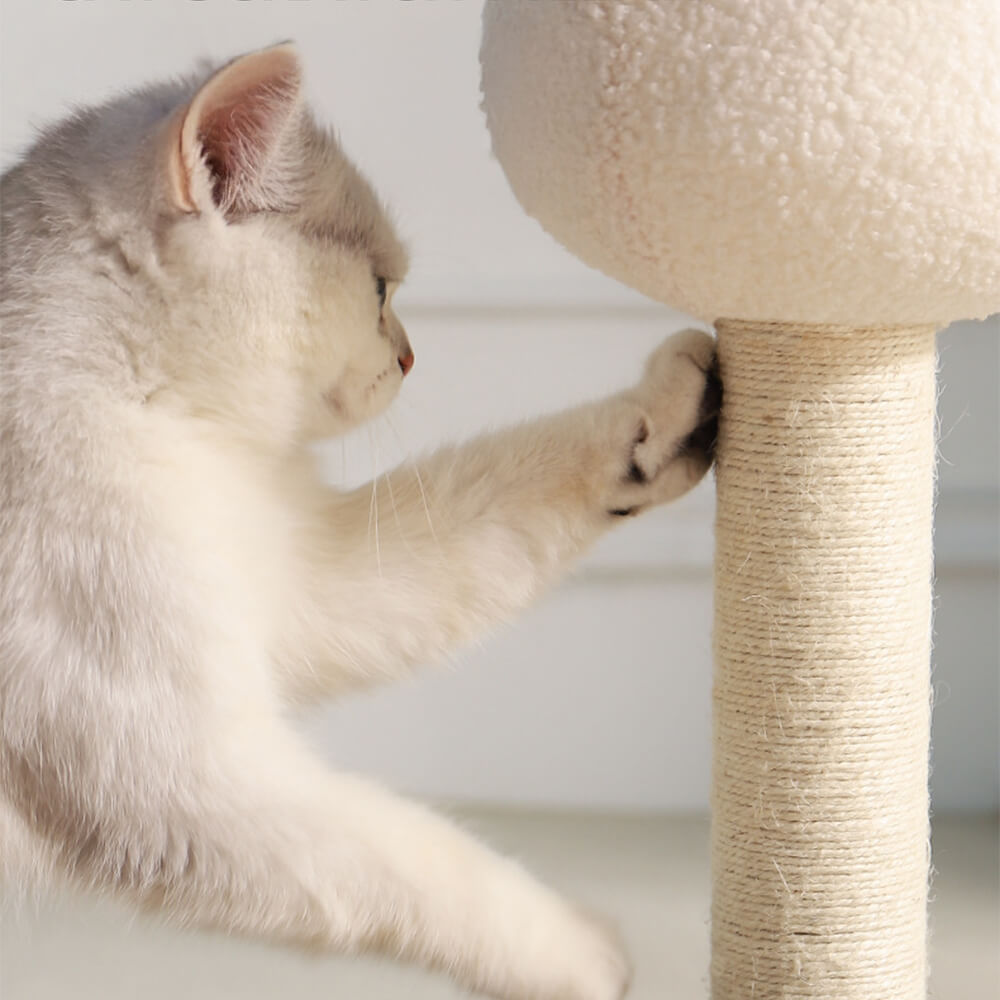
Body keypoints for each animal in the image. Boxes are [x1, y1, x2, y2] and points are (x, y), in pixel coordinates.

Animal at [0, 41, 720, 1000]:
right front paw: (584, 953)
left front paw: (668, 416)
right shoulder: (185, 786)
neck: (183, 436)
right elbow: (419, 865)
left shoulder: (312, 584)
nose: (413, 356)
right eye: (380, 288)